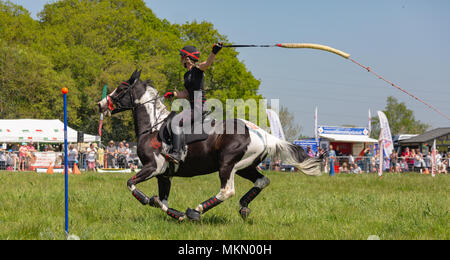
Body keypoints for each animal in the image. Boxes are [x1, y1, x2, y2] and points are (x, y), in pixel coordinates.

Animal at [97, 69, 324, 221]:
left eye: (121, 88)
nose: (100, 105)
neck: (153, 126)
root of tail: (264, 135)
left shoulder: (154, 167)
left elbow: (131, 184)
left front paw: (149, 200)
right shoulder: (164, 175)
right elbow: (162, 201)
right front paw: (176, 214)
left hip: (227, 165)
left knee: (227, 191)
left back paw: (196, 211)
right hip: (245, 166)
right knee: (262, 181)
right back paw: (243, 207)